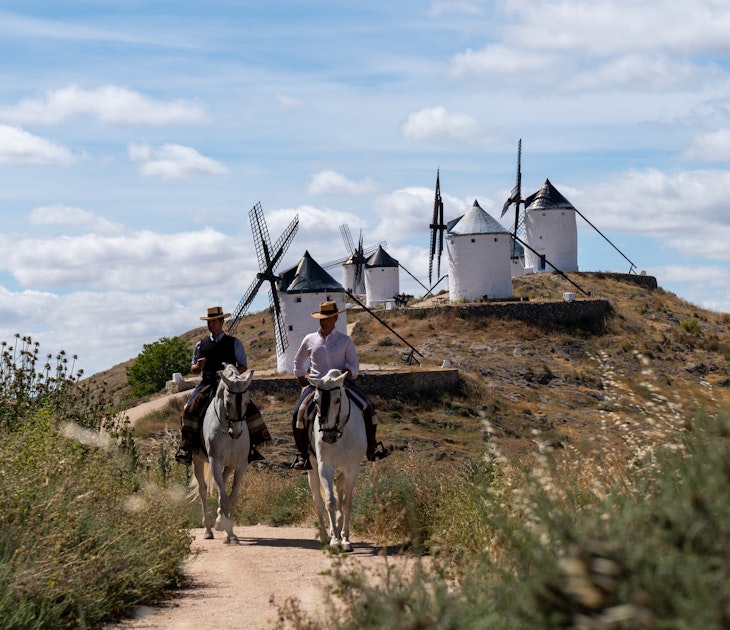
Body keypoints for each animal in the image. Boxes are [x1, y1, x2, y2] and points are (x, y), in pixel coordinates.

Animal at [190, 364, 253, 544]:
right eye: (228, 402)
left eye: (247, 402)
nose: (236, 432)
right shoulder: (215, 462)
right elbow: (224, 499)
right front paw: (227, 531)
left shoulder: (240, 465)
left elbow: (232, 498)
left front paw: (229, 533)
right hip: (197, 460)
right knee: (203, 490)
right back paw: (208, 529)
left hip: (228, 465)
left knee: (222, 484)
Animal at [306, 368, 368, 552]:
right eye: (316, 400)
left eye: (338, 400)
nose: (328, 436)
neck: (341, 434)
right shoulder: (324, 467)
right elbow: (330, 502)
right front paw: (334, 540)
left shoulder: (352, 469)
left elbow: (346, 504)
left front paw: (346, 539)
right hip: (312, 470)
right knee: (318, 501)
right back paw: (326, 536)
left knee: (339, 489)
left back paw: (338, 530)